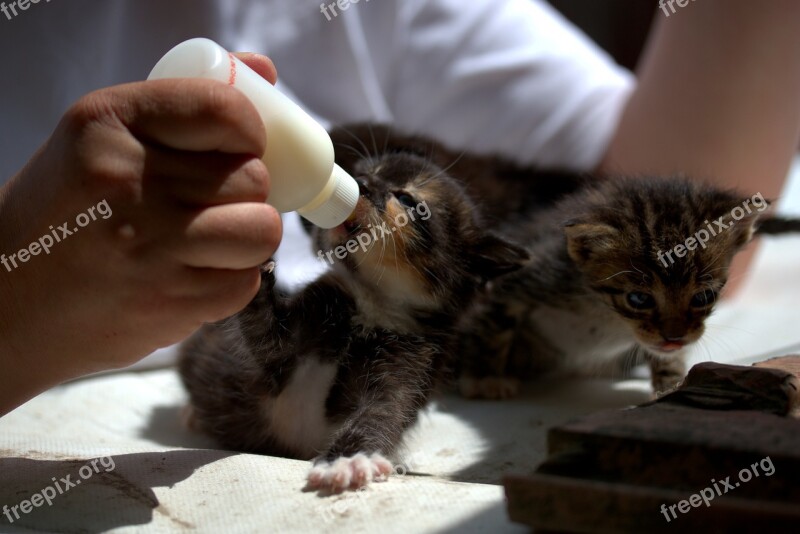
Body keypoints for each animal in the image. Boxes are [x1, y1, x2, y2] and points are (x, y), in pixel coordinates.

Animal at [177, 126, 524, 494]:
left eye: (408, 200)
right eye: (367, 171)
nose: (362, 183)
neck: (371, 305)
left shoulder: (412, 361)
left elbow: (383, 410)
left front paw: (347, 459)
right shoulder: (299, 328)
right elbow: (264, 336)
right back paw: (192, 412)